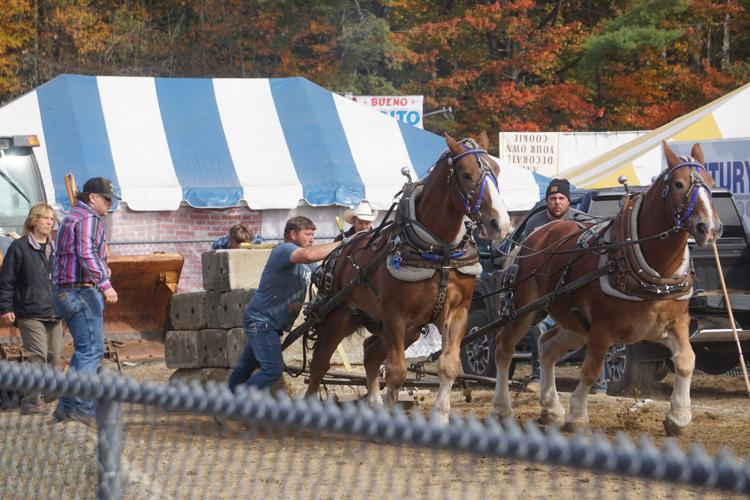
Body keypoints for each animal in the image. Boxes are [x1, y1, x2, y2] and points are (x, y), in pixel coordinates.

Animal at [305, 132, 510, 423]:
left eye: (497, 170)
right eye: (466, 174)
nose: (499, 224)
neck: (440, 251)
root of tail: (340, 250)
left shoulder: (458, 311)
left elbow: (449, 366)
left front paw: (440, 416)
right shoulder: (395, 313)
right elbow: (396, 372)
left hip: (407, 327)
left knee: (370, 354)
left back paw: (374, 405)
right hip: (339, 316)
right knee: (320, 363)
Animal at [492, 141, 722, 435]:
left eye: (711, 183)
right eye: (679, 184)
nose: (709, 228)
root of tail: (534, 235)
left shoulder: (677, 323)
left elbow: (685, 361)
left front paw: (679, 417)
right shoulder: (602, 329)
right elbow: (590, 369)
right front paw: (578, 416)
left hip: (576, 323)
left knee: (547, 345)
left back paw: (552, 409)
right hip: (525, 310)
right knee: (504, 347)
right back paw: (503, 409)